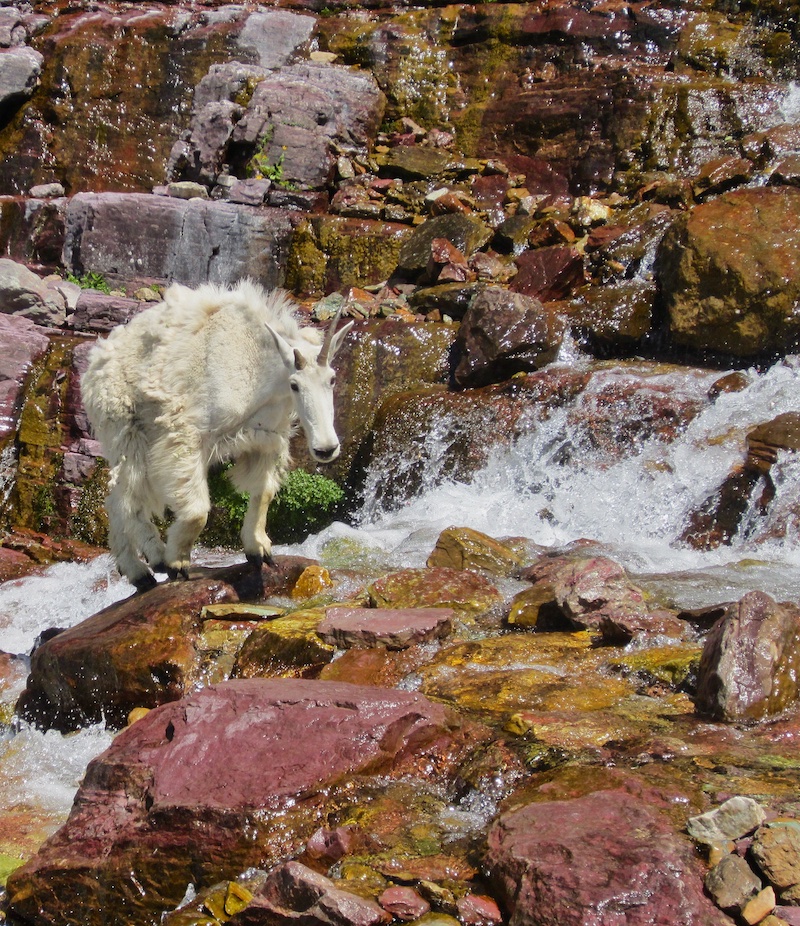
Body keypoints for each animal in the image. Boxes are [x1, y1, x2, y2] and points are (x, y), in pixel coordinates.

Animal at [81, 280, 353, 591]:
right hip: (125, 431)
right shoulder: (185, 437)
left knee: (118, 499)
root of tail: (94, 363)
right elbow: (198, 510)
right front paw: (177, 563)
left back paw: (141, 569)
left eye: (332, 379)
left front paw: (259, 550)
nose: (326, 448)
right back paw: (150, 562)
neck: (259, 370)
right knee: (126, 498)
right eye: (295, 385)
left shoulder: (266, 439)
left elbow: (263, 493)